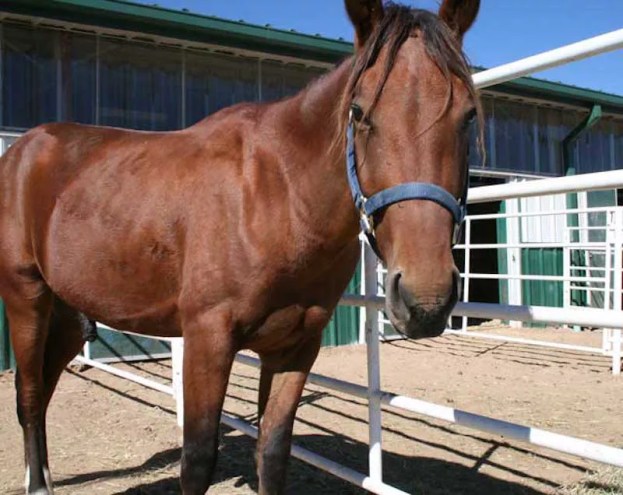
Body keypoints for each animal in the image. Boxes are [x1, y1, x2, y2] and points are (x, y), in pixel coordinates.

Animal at [0, 0, 481, 493]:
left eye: (467, 115)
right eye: (360, 112)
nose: (425, 300)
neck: (277, 195)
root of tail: (21, 149)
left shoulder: (296, 346)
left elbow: (272, 450)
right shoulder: (207, 339)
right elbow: (197, 460)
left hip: (68, 311)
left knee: (44, 386)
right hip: (26, 297)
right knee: (30, 395)